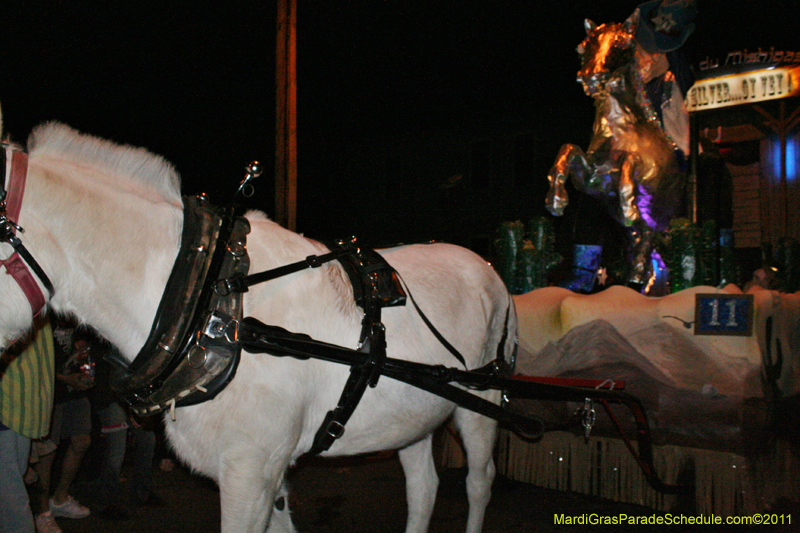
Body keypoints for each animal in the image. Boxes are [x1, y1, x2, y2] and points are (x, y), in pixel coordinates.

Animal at [0, 117, 512, 532]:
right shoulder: (263, 474)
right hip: (413, 414)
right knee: (423, 487)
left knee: (479, 483)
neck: (209, 301)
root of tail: (488, 268)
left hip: (483, 398)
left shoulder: (251, 470)